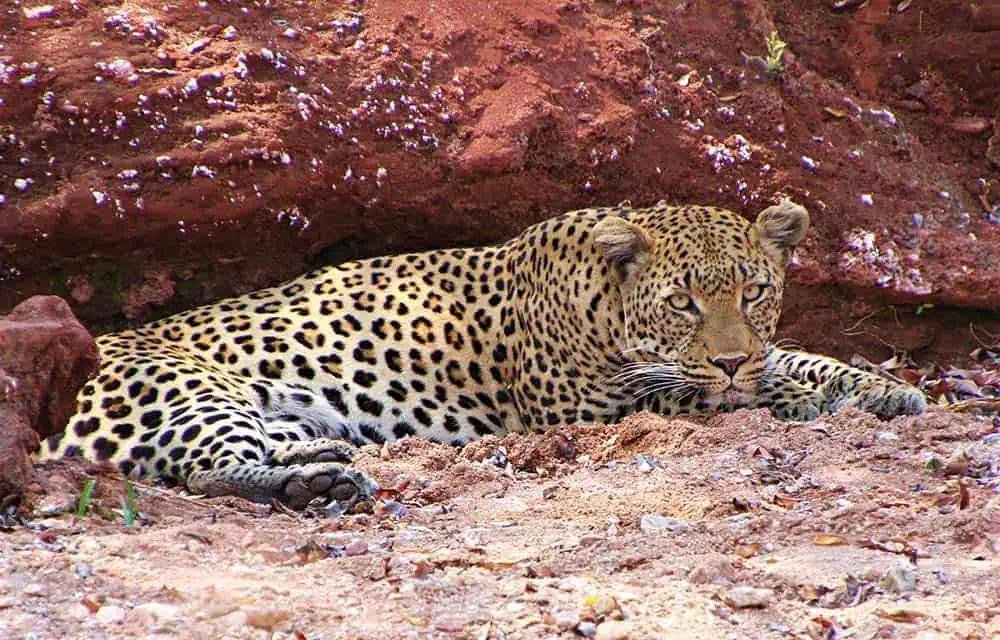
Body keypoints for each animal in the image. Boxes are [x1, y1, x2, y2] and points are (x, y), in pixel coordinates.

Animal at [38, 199, 926, 510]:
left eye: (755, 292)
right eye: (683, 303)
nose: (734, 358)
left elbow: (795, 357)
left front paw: (883, 388)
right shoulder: (581, 407)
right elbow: (699, 390)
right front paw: (790, 396)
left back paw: (328, 459)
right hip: (183, 385)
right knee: (208, 470)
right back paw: (313, 484)